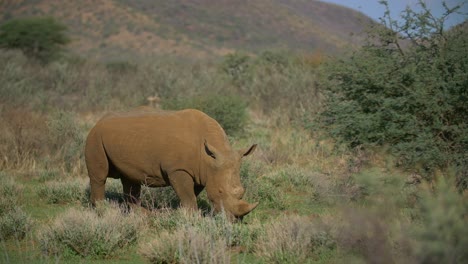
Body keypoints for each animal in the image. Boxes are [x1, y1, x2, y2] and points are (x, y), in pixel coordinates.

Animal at [85, 108, 260, 219]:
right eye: (220, 191)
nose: (234, 220)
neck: (209, 158)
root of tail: (98, 121)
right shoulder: (178, 169)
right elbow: (188, 196)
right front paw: (192, 218)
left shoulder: (200, 172)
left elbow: (191, 194)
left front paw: (180, 212)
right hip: (95, 138)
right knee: (99, 177)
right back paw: (103, 212)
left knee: (130, 179)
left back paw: (142, 215)